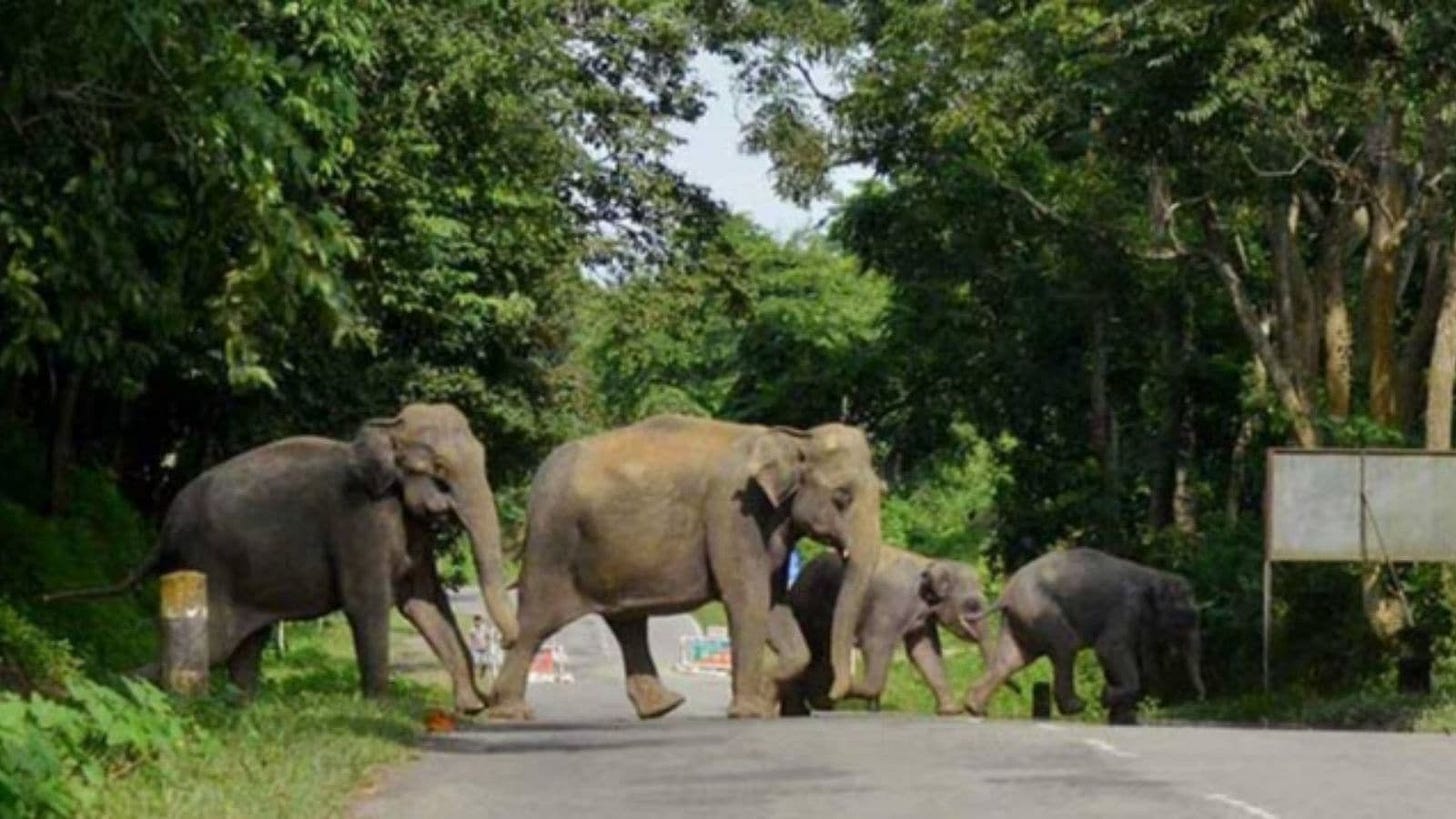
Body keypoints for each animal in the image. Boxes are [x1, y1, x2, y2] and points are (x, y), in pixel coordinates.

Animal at [45, 403, 518, 714]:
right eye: (439, 470)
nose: (493, 698)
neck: (386, 428)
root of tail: (164, 530)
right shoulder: (360, 521)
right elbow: (367, 605)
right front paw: (380, 710)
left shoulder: (408, 528)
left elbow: (425, 601)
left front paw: (469, 708)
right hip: (206, 565)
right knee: (214, 645)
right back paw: (95, 693)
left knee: (244, 646)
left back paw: (243, 709)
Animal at [486, 414, 885, 720]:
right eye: (842, 497)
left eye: (882, 492)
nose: (833, 694)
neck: (794, 436)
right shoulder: (733, 514)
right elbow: (748, 599)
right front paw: (750, 711)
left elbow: (773, 602)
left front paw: (765, 696)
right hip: (552, 542)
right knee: (536, 622)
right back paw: (510, 712)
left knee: (627, 622)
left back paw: (662, 707)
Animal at [780, 545, 998, 717]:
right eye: (972, 606)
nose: (979, 710)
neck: (930, 563)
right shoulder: (890, 603)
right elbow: (875, 643)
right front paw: (847, 690)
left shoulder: (922, 617)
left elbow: (925, 651)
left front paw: (951, 711)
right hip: (806, 607)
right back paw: (807, 707)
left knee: (820, 654)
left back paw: (816, 705)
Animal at [965, 547, 1205, 724]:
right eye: (1186, 617)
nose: (1201, 697)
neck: (1155, 574)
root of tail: (1005, 594)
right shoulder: (1125, 609)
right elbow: (1109, 648)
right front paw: (1105, 698)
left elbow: (1113, 659)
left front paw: (1122, 717)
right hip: (1040, 610)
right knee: (1065, 646)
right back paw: (1077, 706)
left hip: (1021, 620)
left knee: (1011, 660)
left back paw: (974, 708)